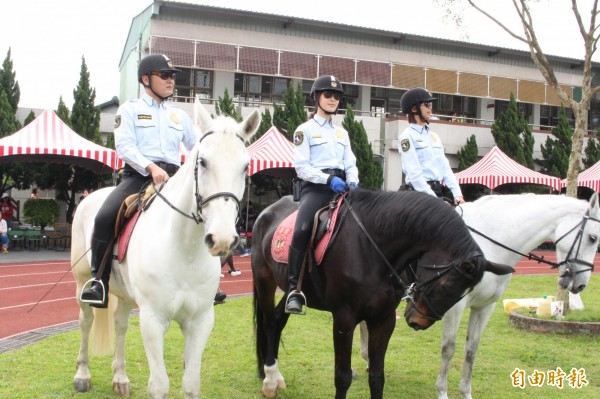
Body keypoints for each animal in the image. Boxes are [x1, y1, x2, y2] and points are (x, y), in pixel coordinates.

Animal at [71, 101, 258, 399]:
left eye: (245, 166)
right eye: (202, 162)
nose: (222, 239)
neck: (184, 250)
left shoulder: (200, 321)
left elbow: (191, 384)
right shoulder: (153, 320)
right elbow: (159, 385)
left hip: (124, 295)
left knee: (120, 326)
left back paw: (120, 378)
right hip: (81, 284)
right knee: (85, 321)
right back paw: (82, 375)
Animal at [251, 191, 512, 399]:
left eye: (464, 293)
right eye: (448, 285)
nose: (417, 321)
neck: (371, 246)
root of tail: (266, 212)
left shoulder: (384, 319)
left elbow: (377, 377)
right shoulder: (344, 319)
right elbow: (342, 376)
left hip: (292, 288)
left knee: (278, 320)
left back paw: (275, 377)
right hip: (265, 281)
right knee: (268, 322)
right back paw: (270, 380)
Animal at [360, 194, 600, 399]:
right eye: (593, 237)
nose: (580, 284)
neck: (490, 246)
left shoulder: (485, 307)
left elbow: (471, 350)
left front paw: (465, 392)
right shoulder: (454, 306)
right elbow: (448, 349)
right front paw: (442, 392)